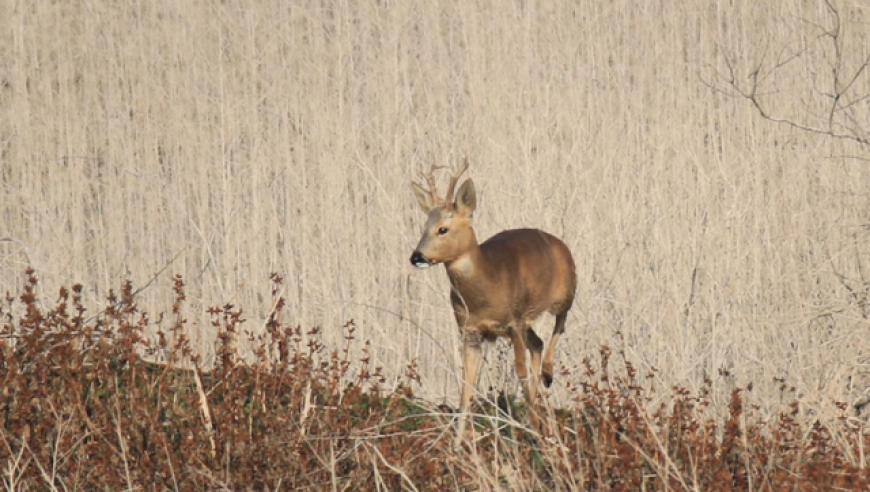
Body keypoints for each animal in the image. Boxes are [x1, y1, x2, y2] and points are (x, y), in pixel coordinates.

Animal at [410, 161, 580, 442]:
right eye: (424, 228)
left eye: (443, 229)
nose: (416, 257)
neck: (487, 287)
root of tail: (559, 243)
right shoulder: (469, 330)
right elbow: (466, 384)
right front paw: (458, 441)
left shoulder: (514, 321)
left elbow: (520, 372)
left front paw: (534, 429)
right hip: (527, 322)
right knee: (538, 342)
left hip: (565, 293)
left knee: (560, 324)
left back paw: (547, 374)